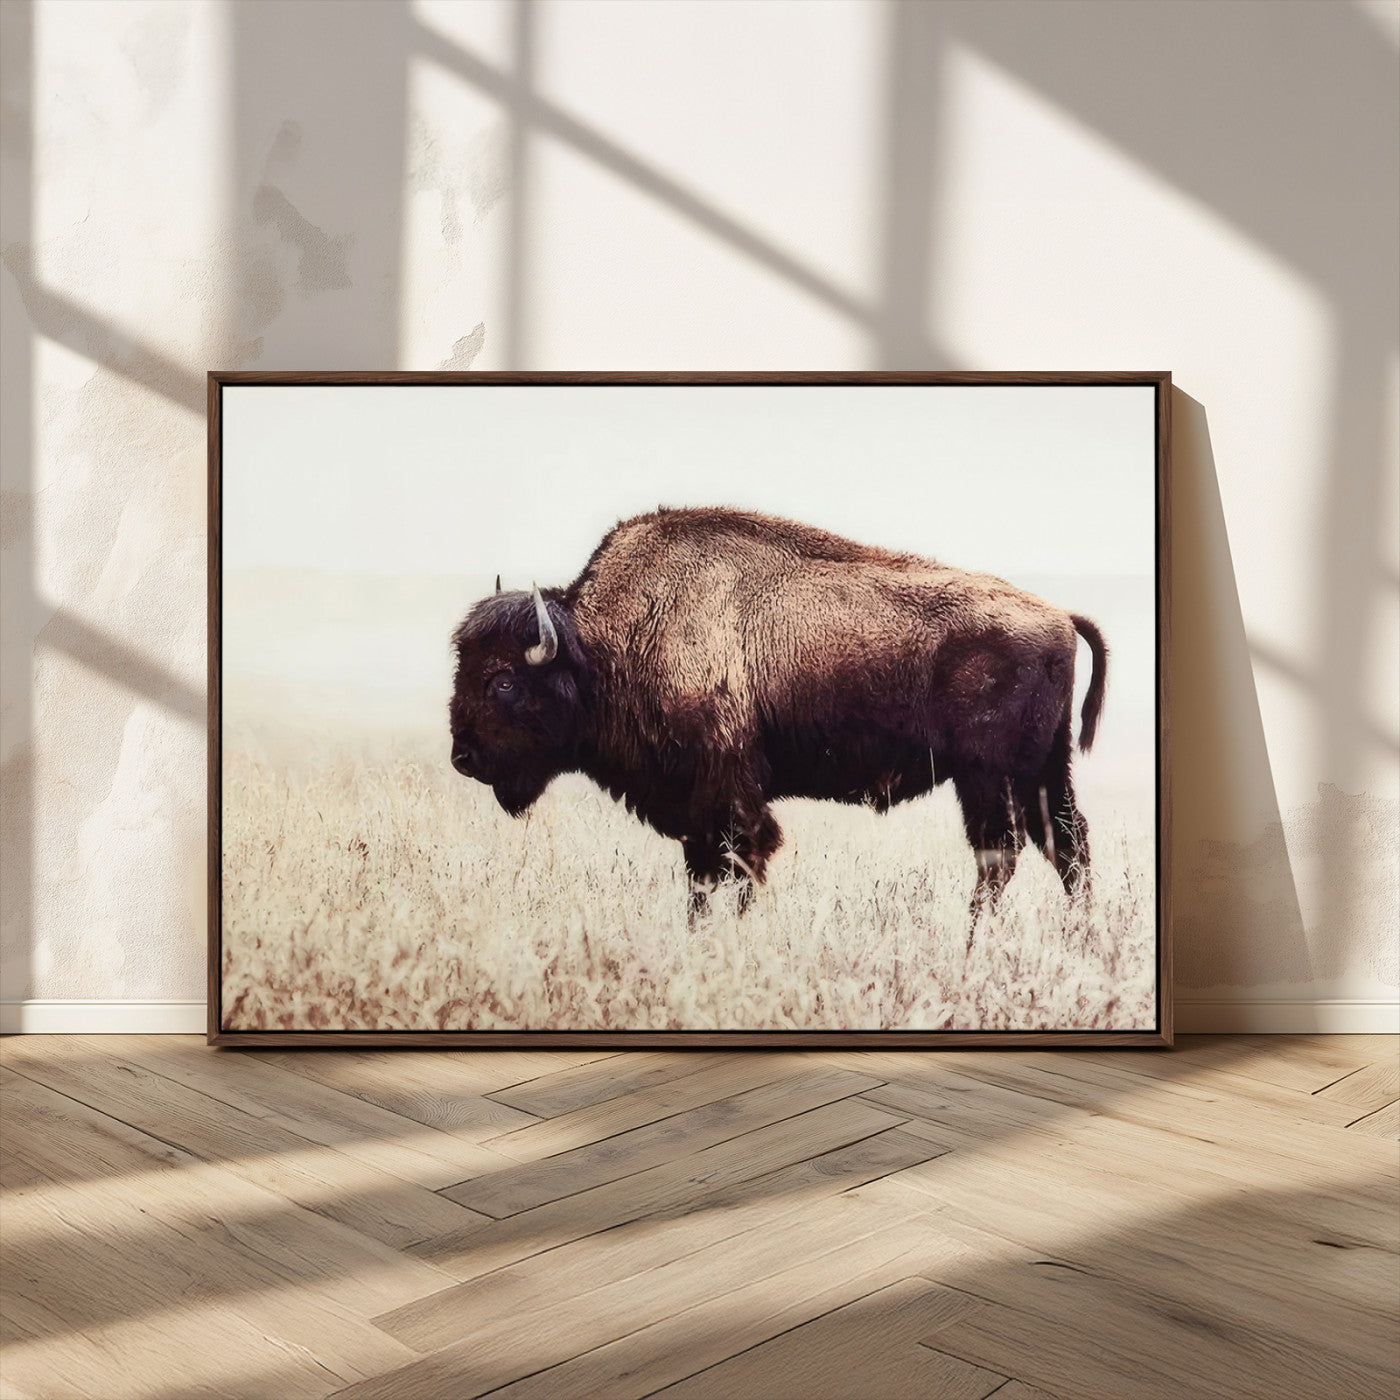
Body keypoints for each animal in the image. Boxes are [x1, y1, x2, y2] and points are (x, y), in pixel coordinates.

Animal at [449, 507, 1107, 918]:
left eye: (503, 680)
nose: (462, 757)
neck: (604, 645)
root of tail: (1058, 615)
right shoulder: (697, 811)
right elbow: (702, 877)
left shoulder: (730, 795)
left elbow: (743, 863)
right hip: (1044, 772)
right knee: (1066, 847)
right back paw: (1077, 939)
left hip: (988, 777)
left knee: (1002, 854)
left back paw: (971, 942)